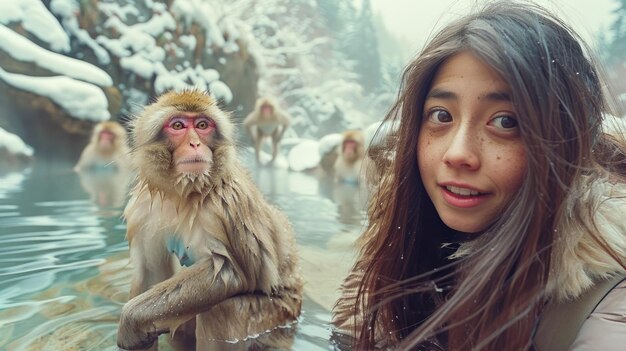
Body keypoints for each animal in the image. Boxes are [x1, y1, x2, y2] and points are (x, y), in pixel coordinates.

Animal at [116, 89, 302, 350]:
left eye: (202, 125)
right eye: (178, 125)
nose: (195, 143)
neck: (182, 194)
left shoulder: (227, 205)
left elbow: (229, 272)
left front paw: (129, 319)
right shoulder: (143, 210)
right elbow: (151, 273)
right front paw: (138, 327)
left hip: (276, 314)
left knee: (224, 309)